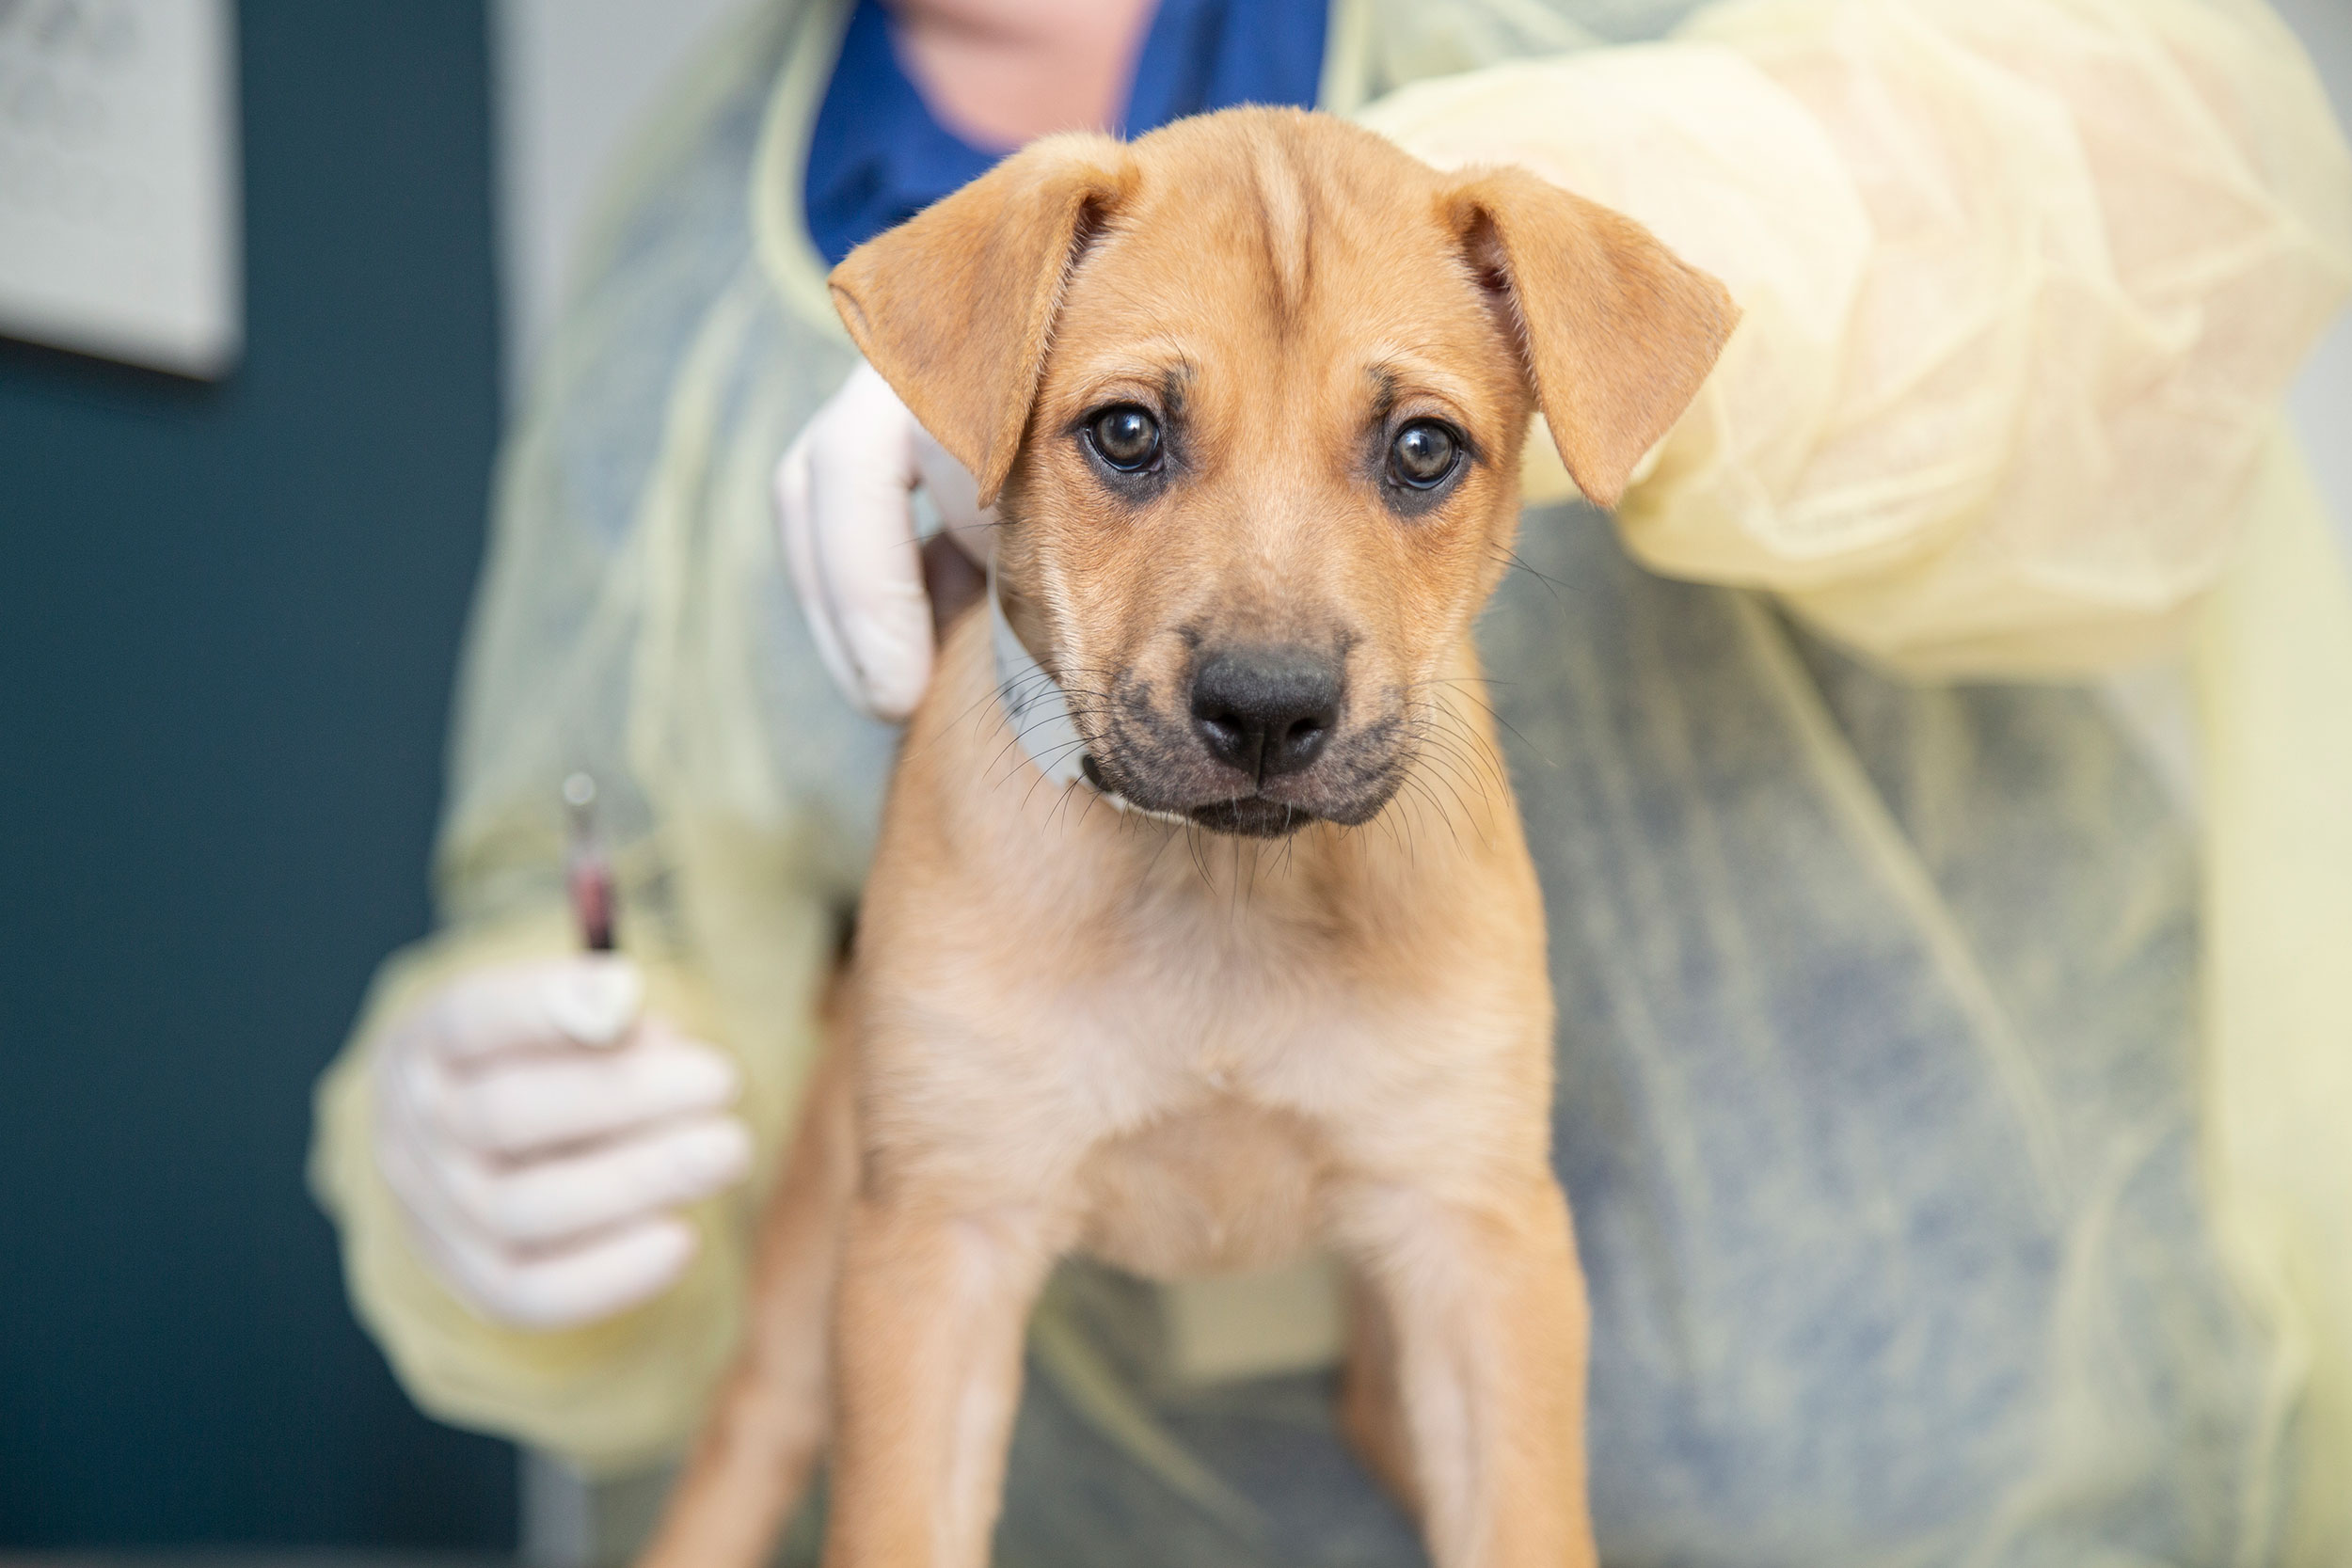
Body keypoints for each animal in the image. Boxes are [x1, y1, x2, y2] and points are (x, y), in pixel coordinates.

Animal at [640, 107, 1731, 1568]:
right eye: (1126, 432)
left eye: (1423, 450)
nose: (1268, 706)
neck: (1222, 892)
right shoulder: (937, 1250)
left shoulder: (1479, 1241)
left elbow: (1522, 1518)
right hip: (815, 1273)